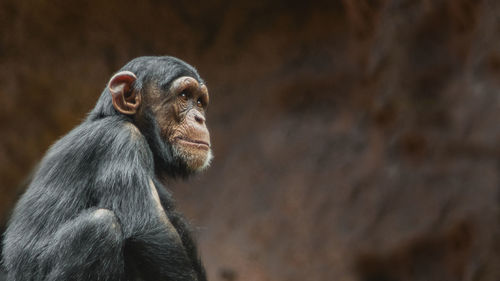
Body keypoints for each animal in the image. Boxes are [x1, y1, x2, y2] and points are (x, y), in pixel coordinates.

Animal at [1, 55, 213, 278]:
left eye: (199, 102)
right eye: (184, 95)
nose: (200, 118)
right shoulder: (122, 139)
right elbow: (150, 227)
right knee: (100, 226)